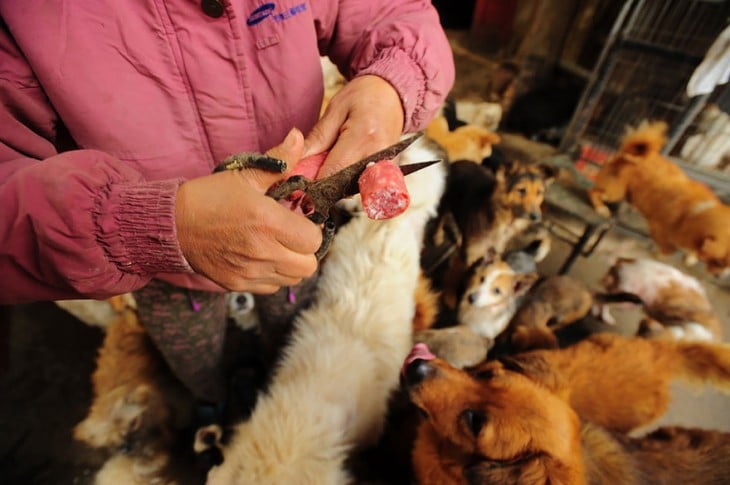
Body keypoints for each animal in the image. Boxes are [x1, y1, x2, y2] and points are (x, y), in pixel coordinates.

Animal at [584, 121, 728, 276]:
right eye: (719, 262)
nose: (721, 276)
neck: (697, 213)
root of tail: (626, 153)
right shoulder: (658, 229)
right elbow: (668, 249)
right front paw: (665, 255)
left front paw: (691, 258)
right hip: (614, 192)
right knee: (593, 191)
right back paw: (601, 208)